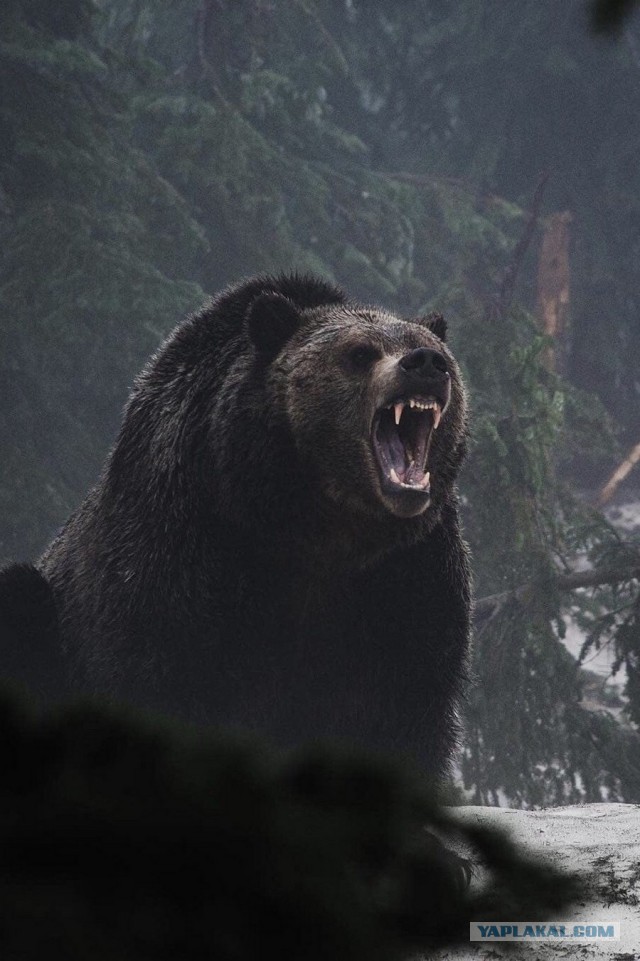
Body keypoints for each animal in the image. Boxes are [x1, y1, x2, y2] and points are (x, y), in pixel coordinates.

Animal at [40, 272, 470, 780]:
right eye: (360, 353)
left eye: (433, 350)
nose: (426, 364)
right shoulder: (181, 542)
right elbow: (156, 673)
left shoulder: (412, 576)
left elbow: (405, 710)